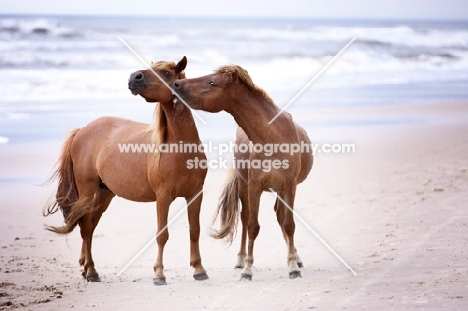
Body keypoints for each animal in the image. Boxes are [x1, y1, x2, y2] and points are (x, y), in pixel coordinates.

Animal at [44, 56, 208, 286]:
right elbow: (162, 235)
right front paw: (159, 274)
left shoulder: (195, 194)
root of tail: (82, 130)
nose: (134, 77)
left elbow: (195, 231)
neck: (179, 148)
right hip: (86, 191)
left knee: (90, 226)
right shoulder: (163, 197)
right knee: (85, 226)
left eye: (167, 73)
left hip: (105, 193)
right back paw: (92, 271)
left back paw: (86, 268)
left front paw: (199, 269)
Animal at [170, 65, 312, 280]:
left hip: (281, 190)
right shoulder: (254, 186)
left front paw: (293, 267)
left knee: (281, 217)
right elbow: (253, 226)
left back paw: (296, 257)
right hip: (246, 186)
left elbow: (289, 225)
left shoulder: (289, 185)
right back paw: (241, 260)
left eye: (212, 82)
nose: (177, 84)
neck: (272, 137)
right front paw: (247, 269)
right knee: (246, 219)